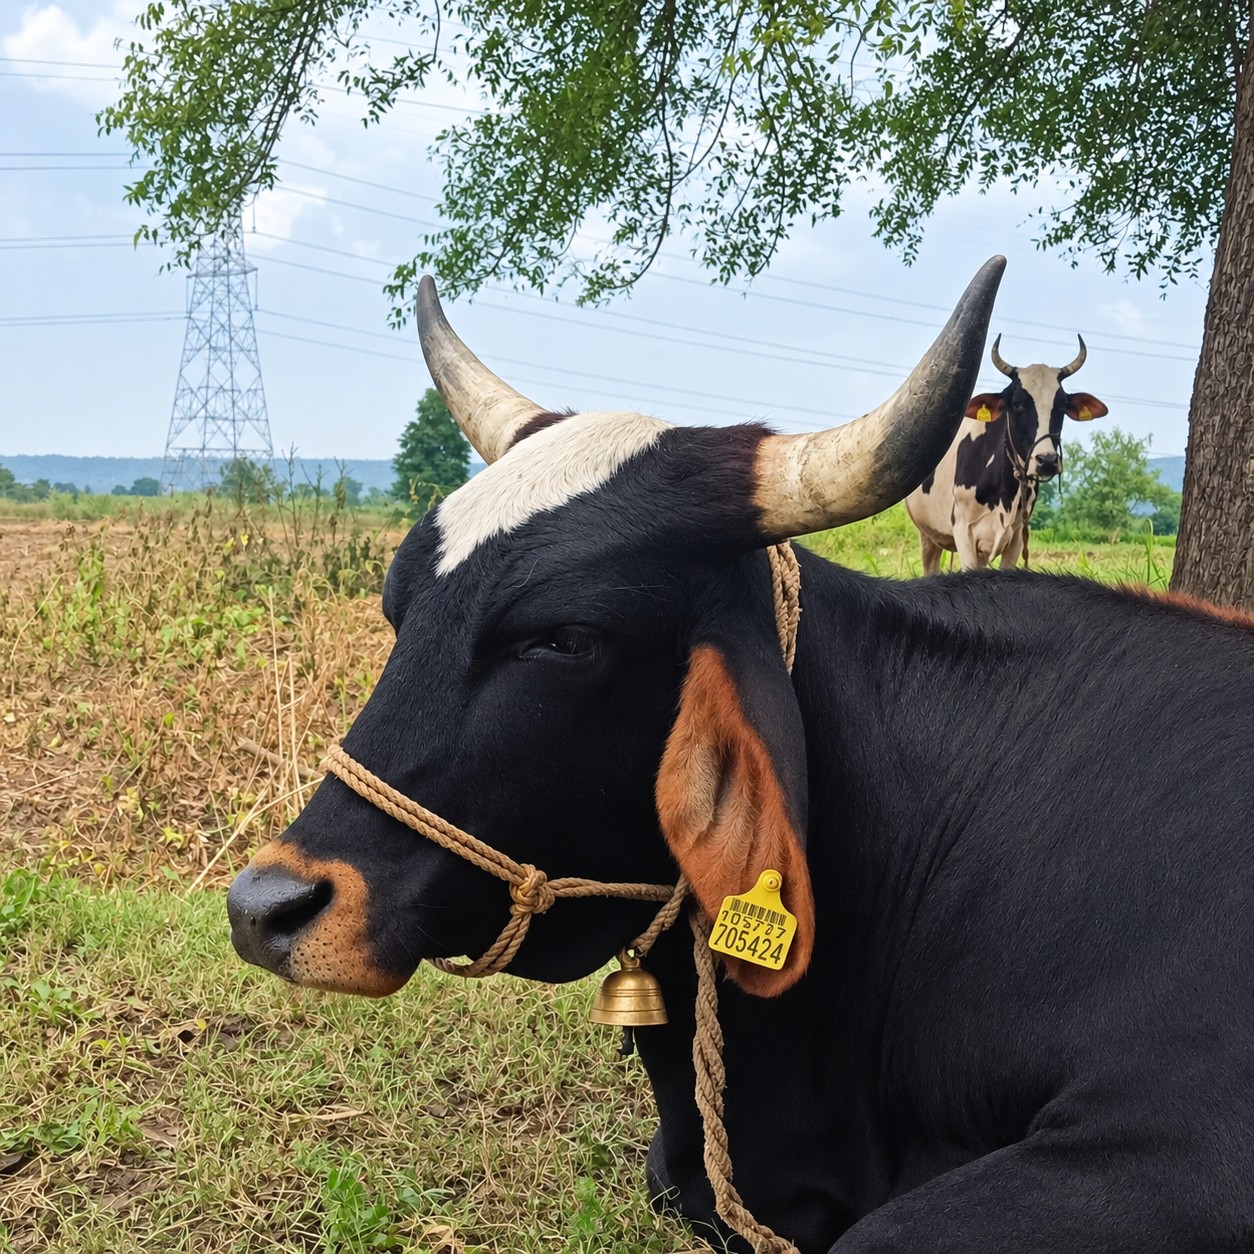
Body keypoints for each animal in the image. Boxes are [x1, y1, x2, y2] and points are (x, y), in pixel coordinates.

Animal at [905, 336, 1108, 573]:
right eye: (1017, 404)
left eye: (1063, 405)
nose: (1047, 460)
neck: (1004, 489)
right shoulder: (963, 530)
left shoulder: (1017, 535)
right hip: (928, 535)